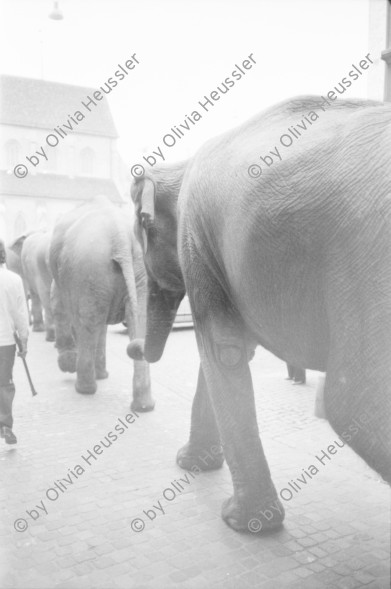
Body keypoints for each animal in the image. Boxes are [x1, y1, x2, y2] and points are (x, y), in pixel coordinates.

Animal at [48, 195, 154, 412]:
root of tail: (120, 236)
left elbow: (61, 307)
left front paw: (68, 365)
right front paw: (102, 375)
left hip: (88, 269)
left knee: (88, 323)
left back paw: (84, 389)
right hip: (138, 272)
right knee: (138, 321)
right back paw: (144, 406)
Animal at [128, 96, 391, 532]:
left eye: (142, 237)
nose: (131, 347)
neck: (180, 165)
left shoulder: (195, 238)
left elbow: (223, 349)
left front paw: (243, 522)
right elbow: (227, 350)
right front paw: (193, 464)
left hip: (363, 255)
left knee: (354, 402)